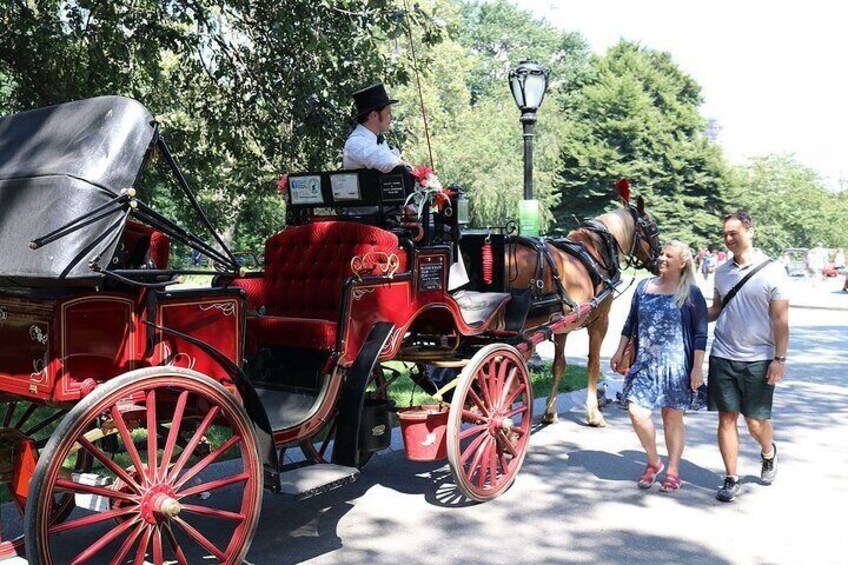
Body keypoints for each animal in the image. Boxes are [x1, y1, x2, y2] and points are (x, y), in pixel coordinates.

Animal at [506, 196, 660, 426]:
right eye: (652, 228)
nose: (660, 259)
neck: (595, 252)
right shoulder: (600, 322)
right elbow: (593, 364)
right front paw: (594, 414)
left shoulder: (562, 327)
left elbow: (559, 365)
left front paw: (550, 411)